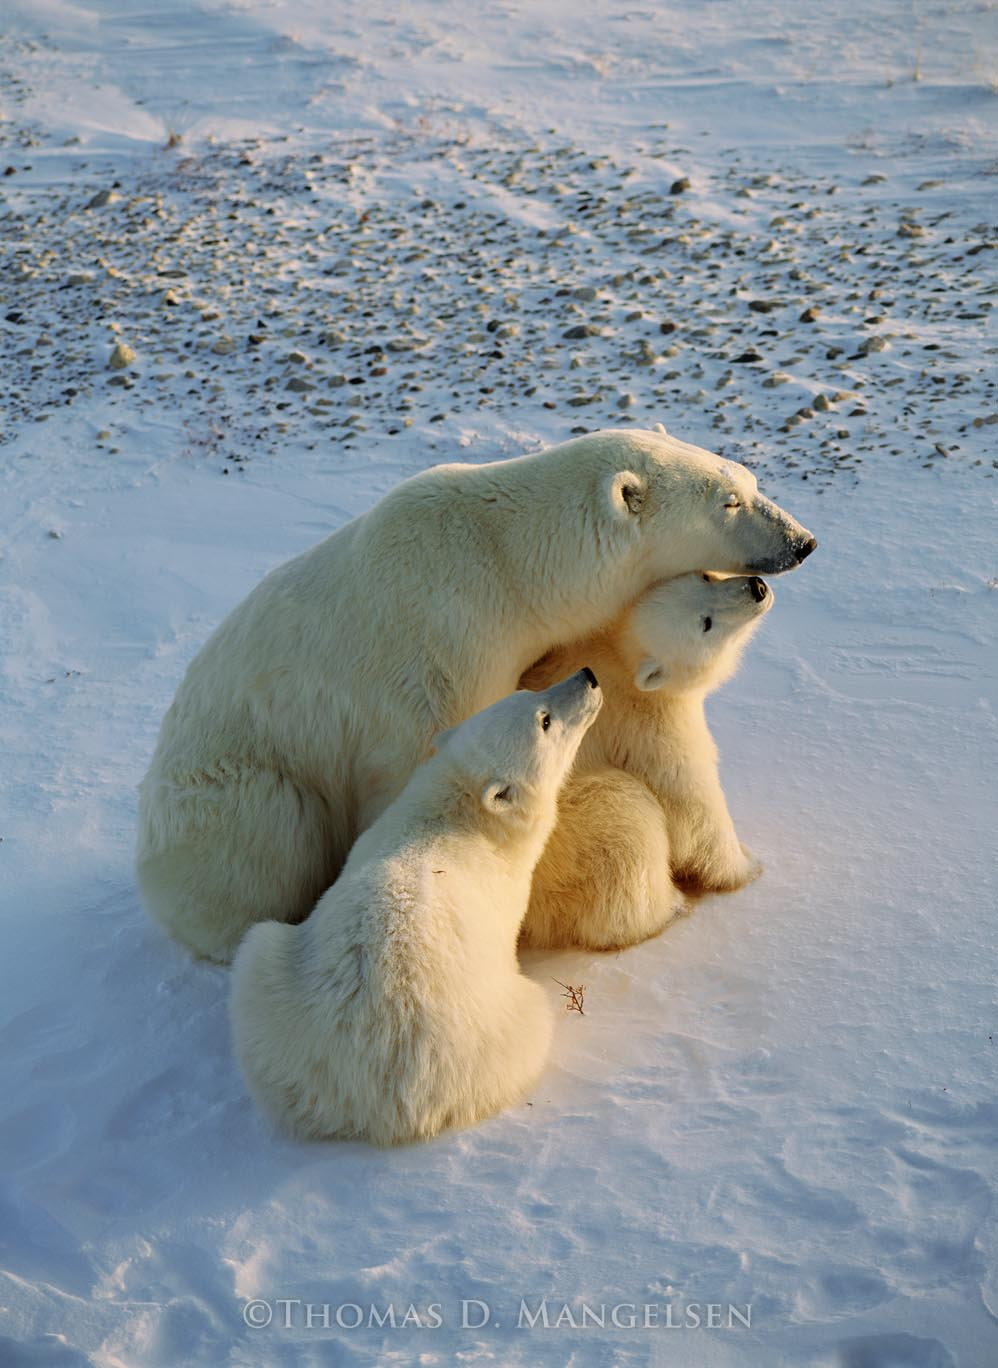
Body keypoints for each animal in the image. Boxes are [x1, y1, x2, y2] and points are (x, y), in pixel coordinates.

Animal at [229, 669, 603, 1145]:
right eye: (545, 720)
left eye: (529, 692)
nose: (588, 676)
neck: (456, 809)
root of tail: (381, 1095)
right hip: (497, 1035)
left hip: (275, 1015)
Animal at [519, 571, 774, 951]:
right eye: (706, 624)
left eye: (707, 576)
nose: (757, 587)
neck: (619, 655)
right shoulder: (650, 723)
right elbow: (693, 806)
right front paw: (747, 866)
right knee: (632, 825)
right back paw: (670, 907)